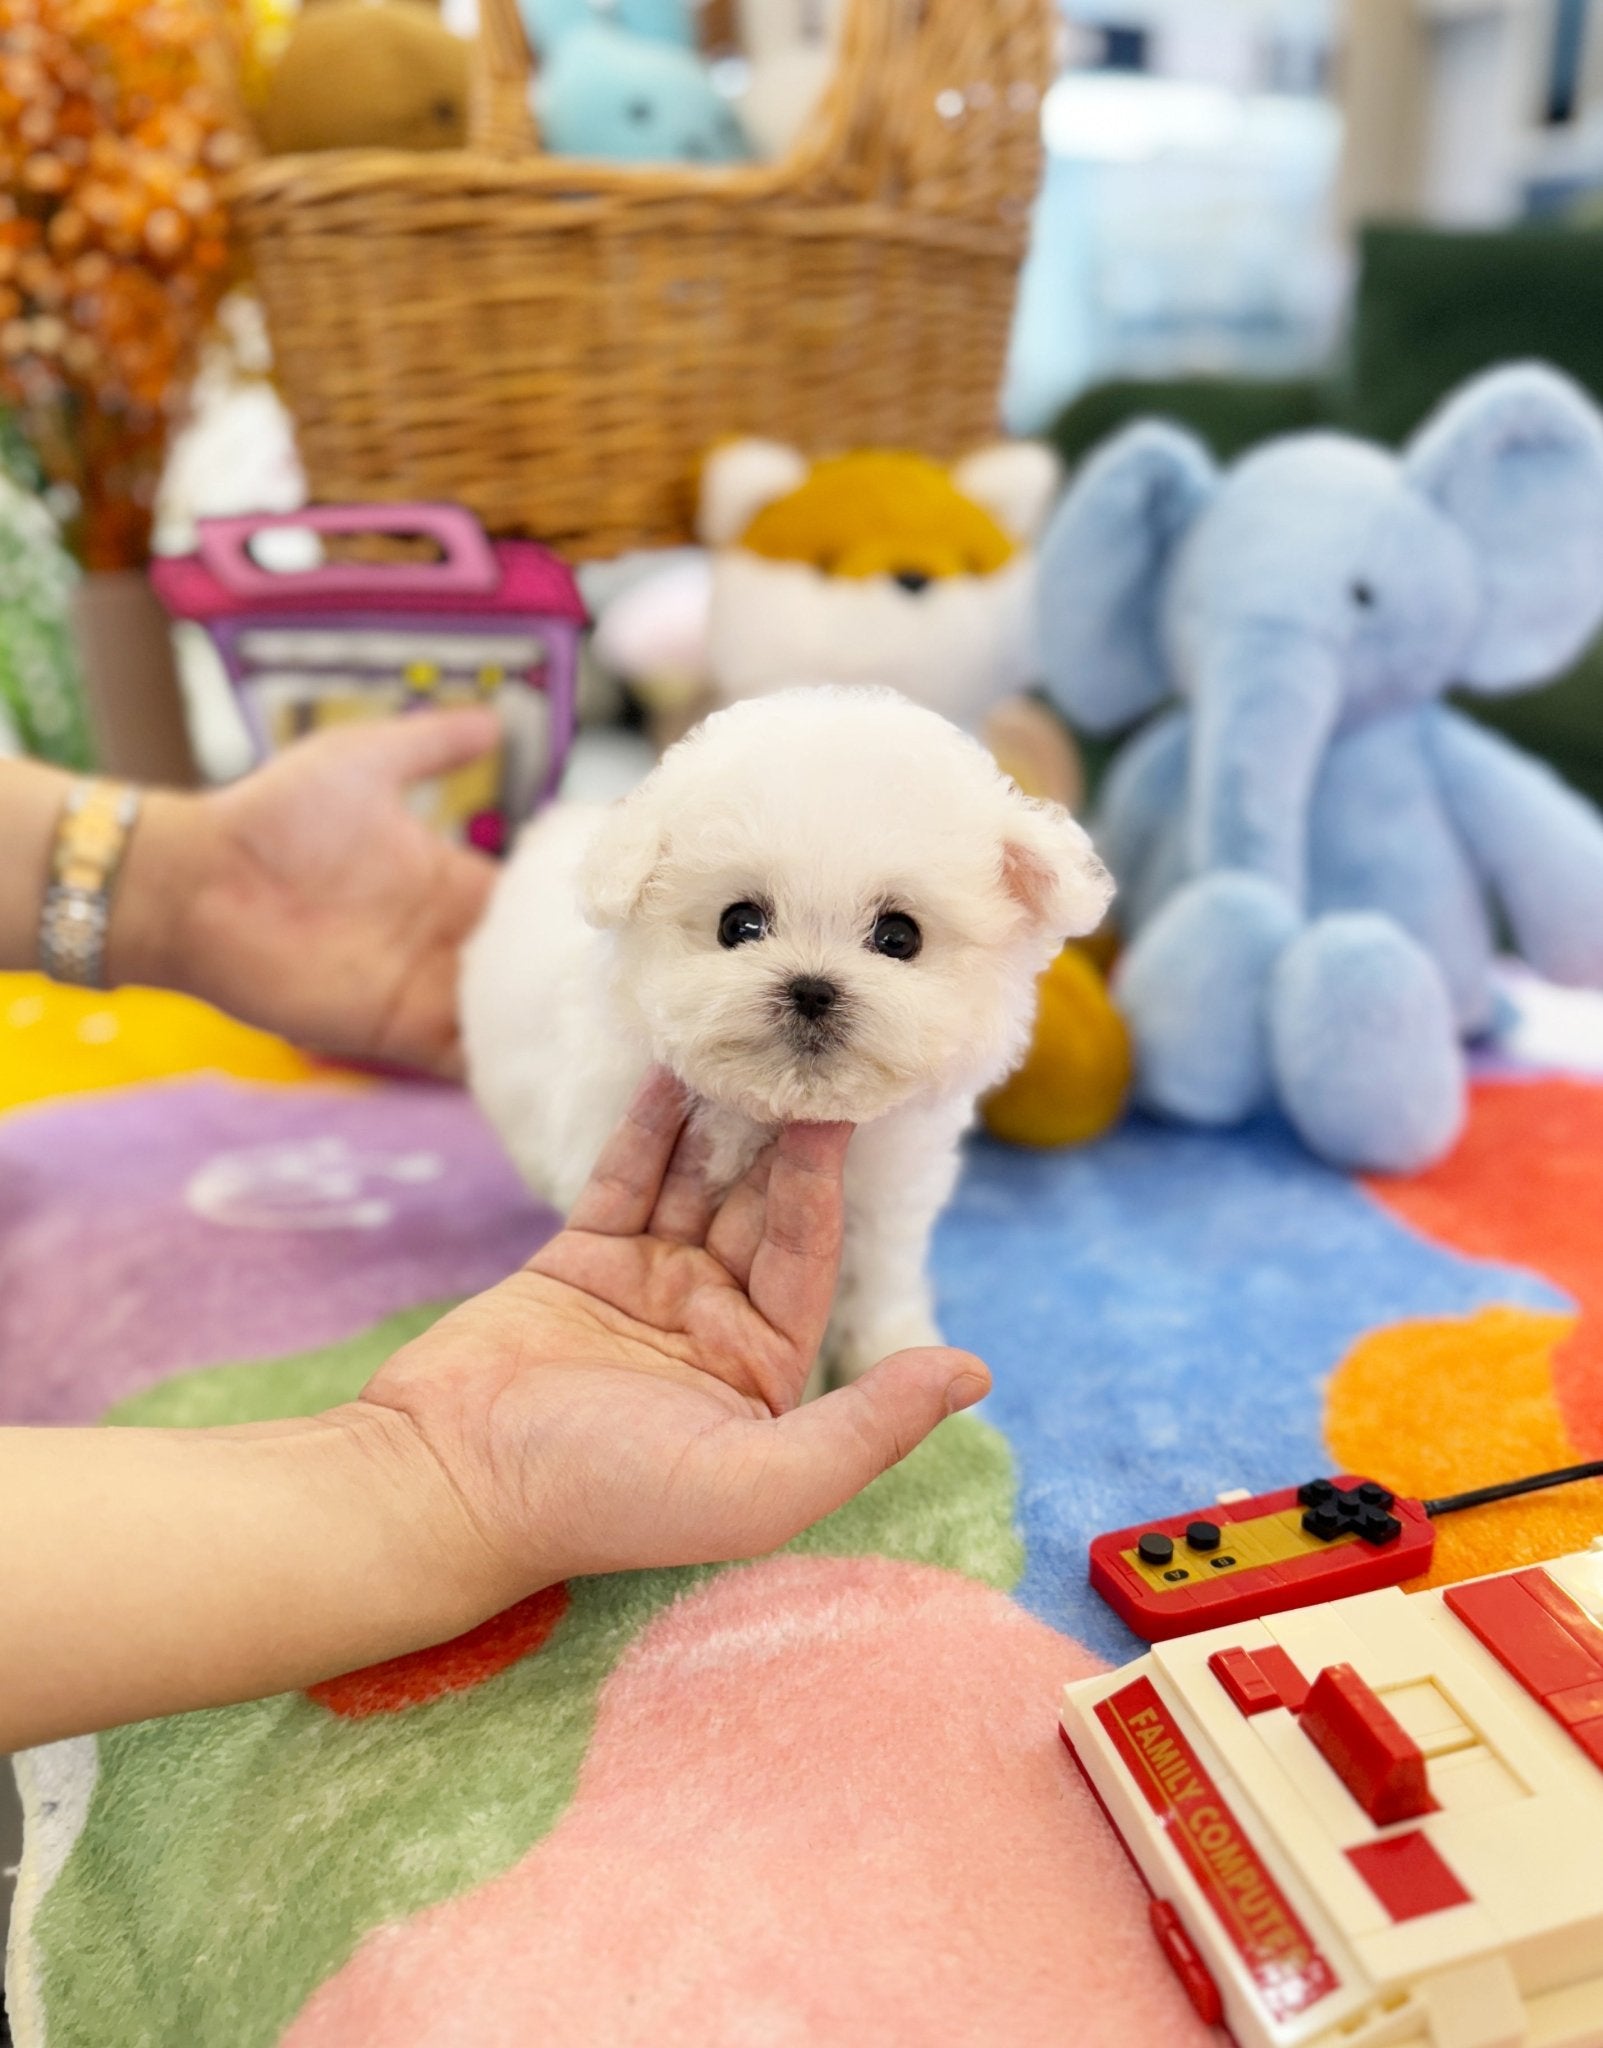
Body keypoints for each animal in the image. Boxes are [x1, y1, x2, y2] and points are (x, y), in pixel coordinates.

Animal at [464, 696, 1113, 1384]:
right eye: (739, 924)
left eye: (898, 937)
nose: (812, 988)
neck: (773, 1117)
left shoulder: (887, 1204)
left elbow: (877, 1288)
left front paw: (894, 1353)